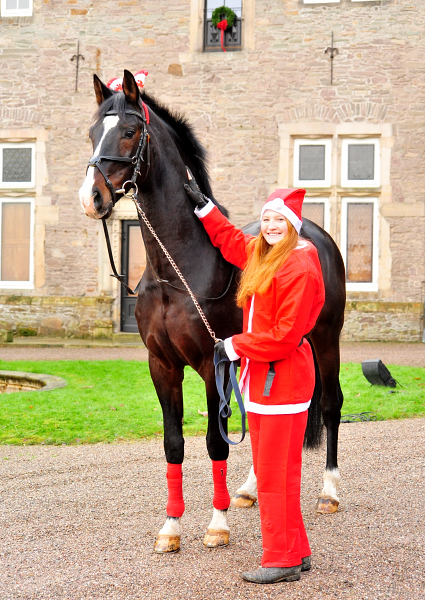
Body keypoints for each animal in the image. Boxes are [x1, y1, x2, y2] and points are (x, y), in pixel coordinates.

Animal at [78, 69, 344, 552]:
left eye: (129, 132)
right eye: (92, 133)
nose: (92, 198)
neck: (177, 270)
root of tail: (314, 231)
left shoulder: (211, 364)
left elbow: (215, 443)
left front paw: (216, 524)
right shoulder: (162, 365)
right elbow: (174, 444)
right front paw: (171, 527)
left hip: (326, 339)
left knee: (331, 404)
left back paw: (329, 492)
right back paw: (252, 489)